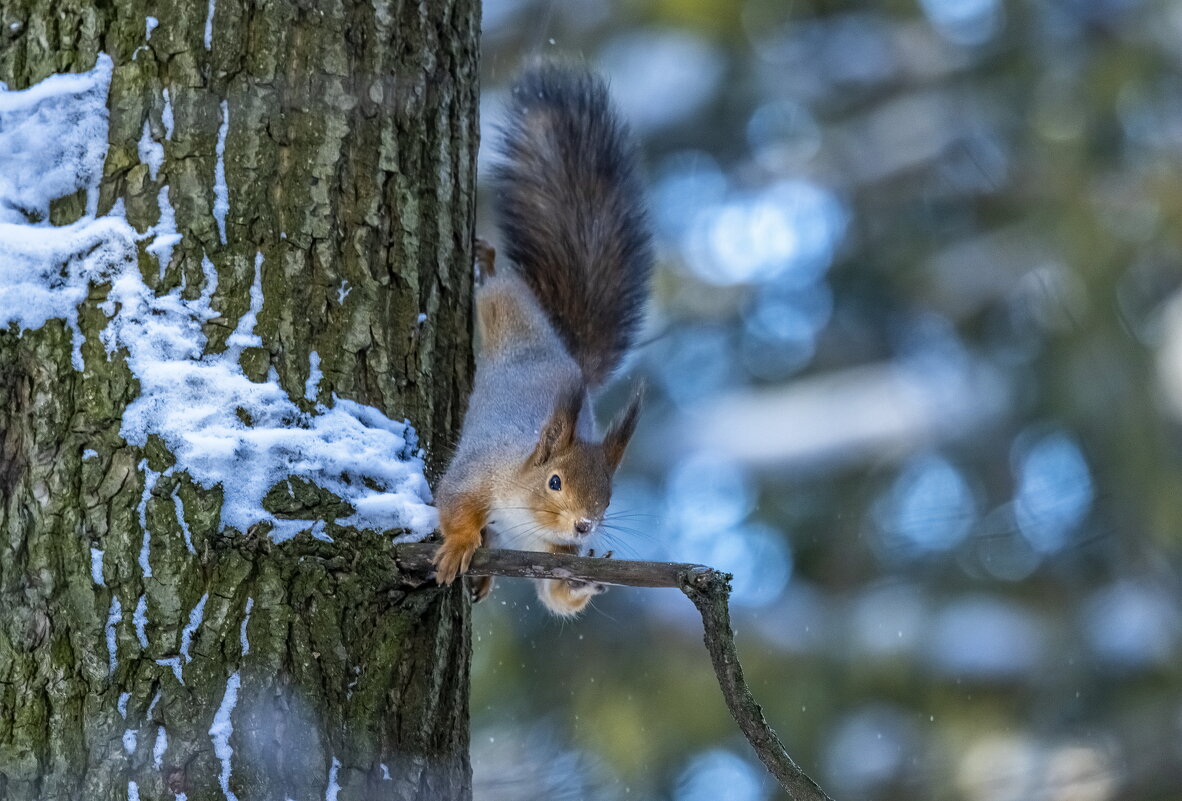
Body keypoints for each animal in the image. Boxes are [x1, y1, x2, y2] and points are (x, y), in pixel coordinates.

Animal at [434, 61, 652, 619]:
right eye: (554, 481)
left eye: (609, 494)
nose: (584, 525)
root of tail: (557, 345)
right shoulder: (479, 469)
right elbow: (453, 502)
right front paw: (460, 544)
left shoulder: (548, 549)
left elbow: (555, 591)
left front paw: (586, 582)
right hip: (506, 307)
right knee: (497, 286)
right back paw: (485, 262)